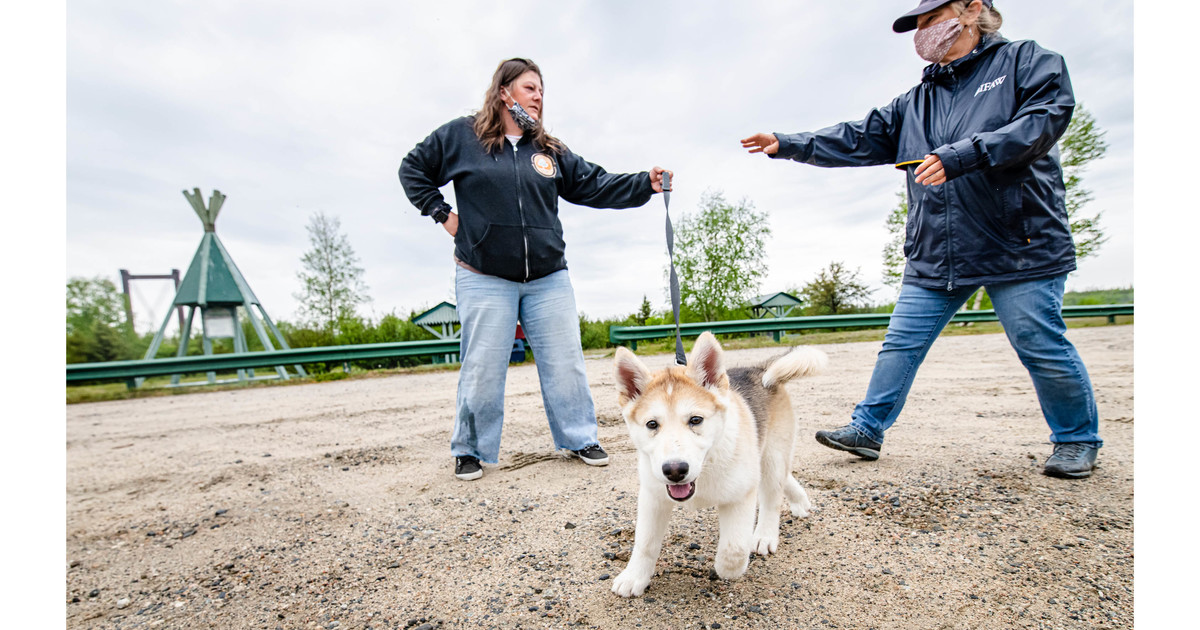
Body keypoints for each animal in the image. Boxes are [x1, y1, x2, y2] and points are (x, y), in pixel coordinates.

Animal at [609, 331, 825, 597]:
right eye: (652, 424)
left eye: (695, 420)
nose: (674, 470)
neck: (704, 472)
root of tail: (758, 370)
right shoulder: (653, 497)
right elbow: (645, 543)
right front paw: (634, 577)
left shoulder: (741, 494)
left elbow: (734, 549)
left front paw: (727, 569)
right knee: (785, 478)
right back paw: (800, 501)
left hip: (772, 456)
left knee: (772, 497)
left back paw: (765, 535)